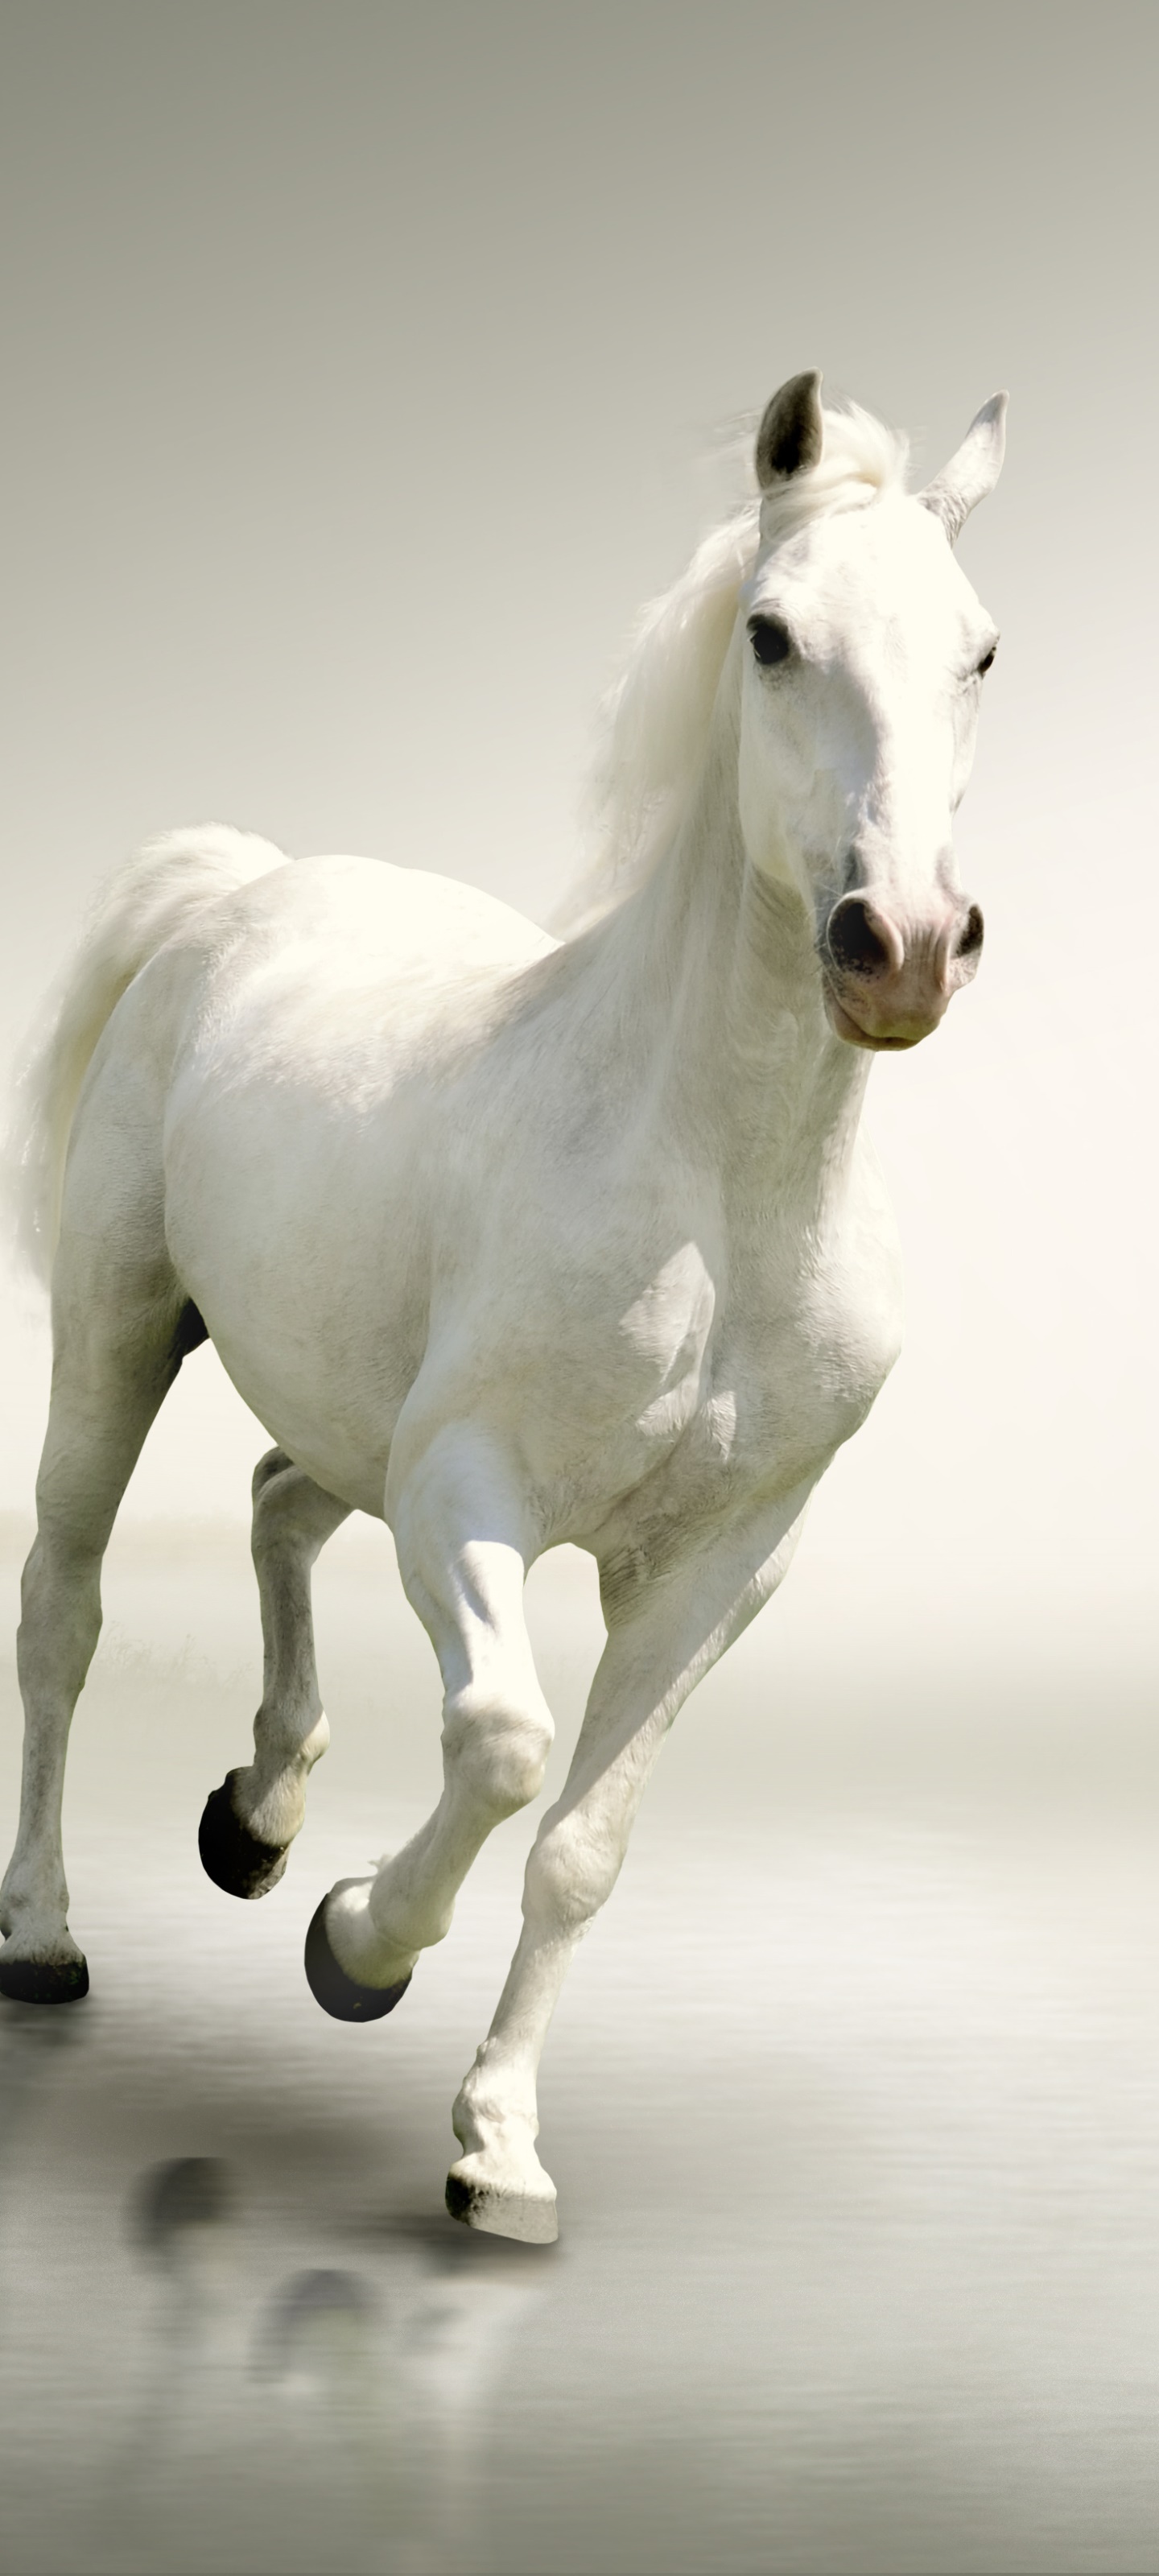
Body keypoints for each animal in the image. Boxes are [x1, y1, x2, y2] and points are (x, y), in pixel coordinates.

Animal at [0, 371, 1006, 2244]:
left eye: (980, 648)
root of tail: (239, 888)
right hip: (118, 1332)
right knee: (65, 1605)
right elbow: (506, 1742)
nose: (901, 943)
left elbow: (586, 1847)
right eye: (771, 633)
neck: (716, 1193)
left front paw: (499, 2153)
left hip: (344, 1408)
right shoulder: (467, 1494)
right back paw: (44, 1932)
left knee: (276, 1498)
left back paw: (256, 1815)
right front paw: (355, 1946)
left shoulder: (719, 1567)